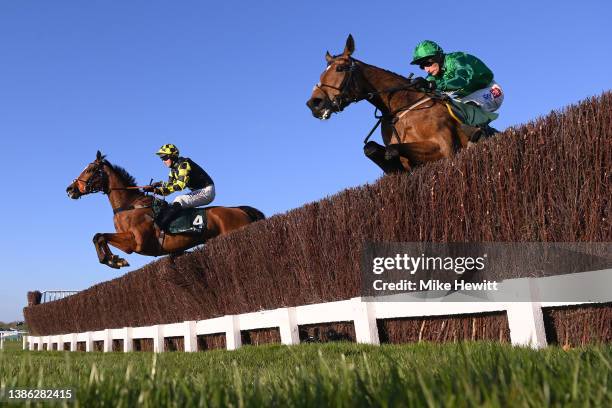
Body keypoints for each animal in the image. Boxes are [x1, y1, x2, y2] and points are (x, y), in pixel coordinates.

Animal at [65, 151, 264, 270]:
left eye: (90, 169)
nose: (70, 189)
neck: (129, 205)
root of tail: (240, 210)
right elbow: (97, 236)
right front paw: (112, 259)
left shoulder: (136, 242)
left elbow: (100, 236)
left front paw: (114, 259)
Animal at [306, 35, 474, 174]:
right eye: (322, 74)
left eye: (340, 68)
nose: (313, 103)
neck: (400, 108)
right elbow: (371, 148)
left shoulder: (444, 148)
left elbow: (392, 150)